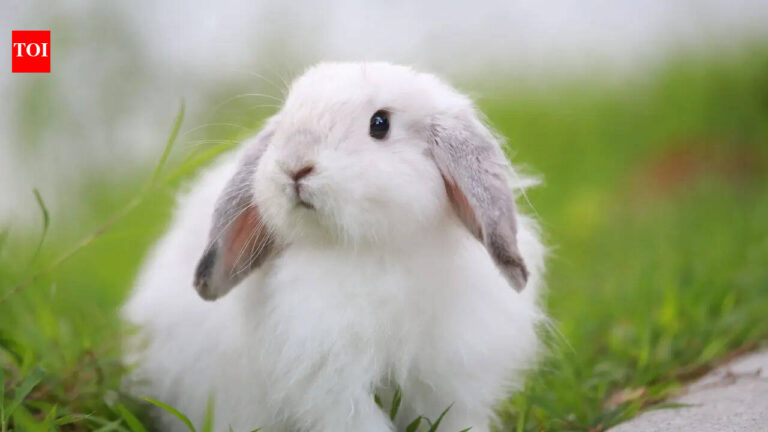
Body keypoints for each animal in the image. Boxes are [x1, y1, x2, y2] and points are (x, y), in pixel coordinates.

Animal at [122, 62, 546, 432]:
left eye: (380, 124)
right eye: (286, 117)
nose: (295, 167)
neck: (374, 250)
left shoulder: (452, 378)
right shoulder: (332, 385)